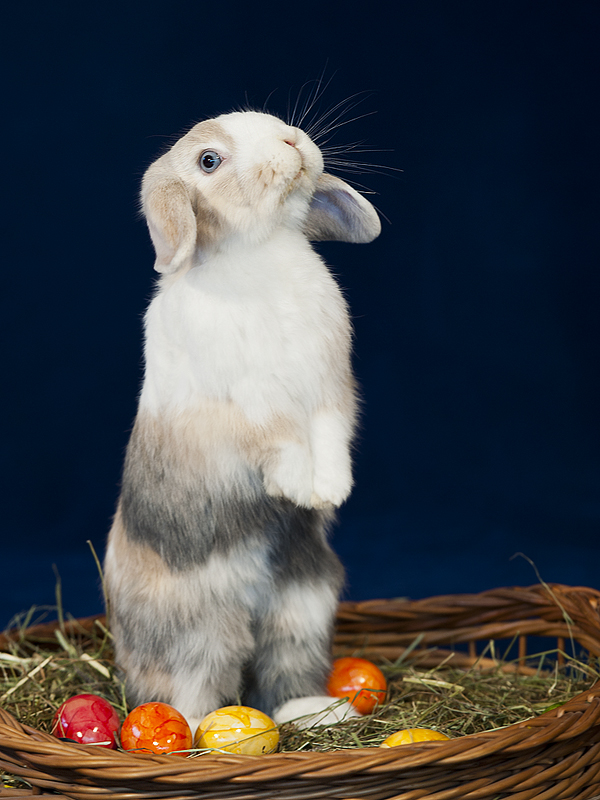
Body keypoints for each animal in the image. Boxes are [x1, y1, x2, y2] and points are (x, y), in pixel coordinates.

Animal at [101, 109, 378, 736]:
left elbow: (330, 435)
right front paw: (303, 489)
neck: (261, 252)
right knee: (189, 683)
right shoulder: (249, 409)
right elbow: (281, 439)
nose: (291, 140)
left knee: (284, 670)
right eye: (209, 161)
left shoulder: (331, 391)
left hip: (305, 601)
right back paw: (190, 732)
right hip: (193, 633)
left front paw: (333, 490)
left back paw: (318, 712)